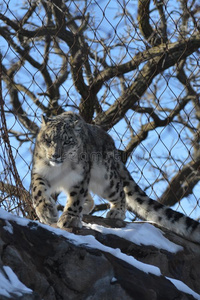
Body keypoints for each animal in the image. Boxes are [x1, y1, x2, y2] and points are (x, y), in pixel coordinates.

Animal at [31, 111, 200, 243]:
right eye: (48, 139)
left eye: (67, 141)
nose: (55, 155)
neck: (59, 169)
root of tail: (111, 143)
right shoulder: (40, 172)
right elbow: (38, 190)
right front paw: (47, 212)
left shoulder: (79, 177)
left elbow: (76, 197)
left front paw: (69, 218)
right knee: (90, 198)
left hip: (106, 179)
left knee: (119, 191)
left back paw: (116, 211)